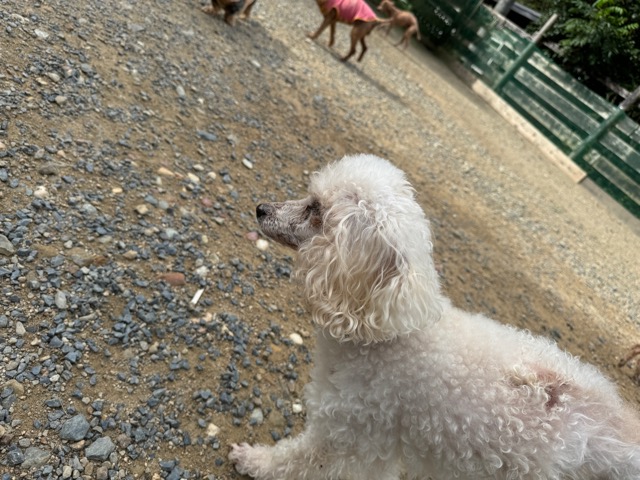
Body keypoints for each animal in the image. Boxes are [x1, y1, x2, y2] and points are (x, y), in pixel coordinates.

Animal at [230, 154, 640, 479]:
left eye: (315, 208)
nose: (261, 208)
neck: (388, 330)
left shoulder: (350, 432)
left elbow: (297, 460)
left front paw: (253, 460)